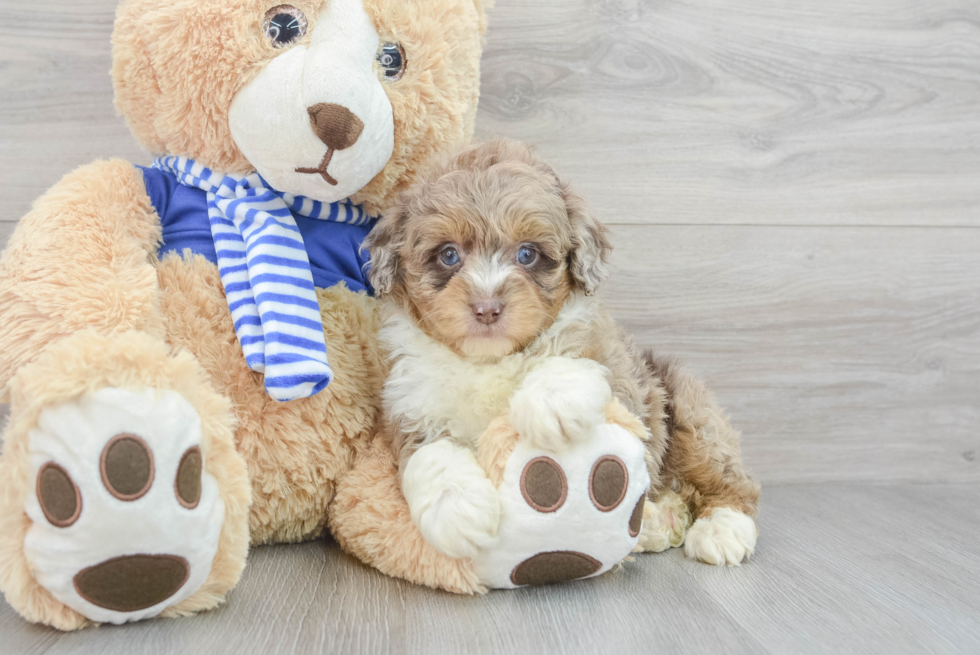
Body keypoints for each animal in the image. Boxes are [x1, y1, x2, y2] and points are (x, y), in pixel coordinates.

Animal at [370, 140, 764, 568]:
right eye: (448, 255)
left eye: (527, 254)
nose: (487, 308)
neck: (490, 360)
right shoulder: (412, 404)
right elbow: (432, 454)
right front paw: (457, 513)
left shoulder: (614, 367)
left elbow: (572, 361)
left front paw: (552, 406)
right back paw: (660, 523)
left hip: (692, 414)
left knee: (732, 481)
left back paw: (721, 529)